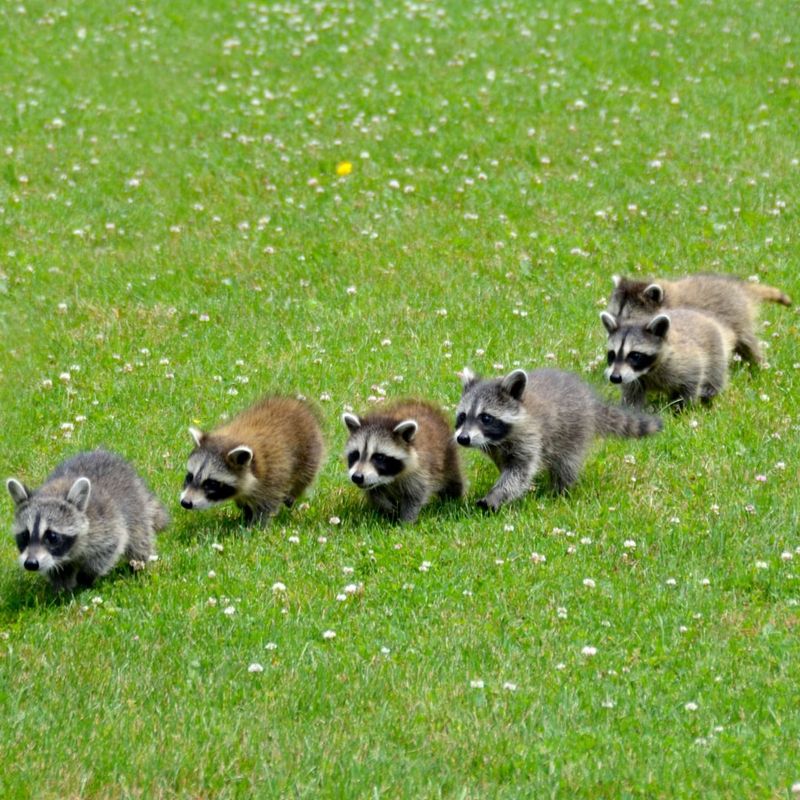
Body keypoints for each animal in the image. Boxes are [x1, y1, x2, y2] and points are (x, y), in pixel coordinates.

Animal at [6, 449, 168, 591]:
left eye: (52, 536)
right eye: (25, 535)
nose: (31, 563)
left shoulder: (106, 524)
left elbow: (108, 549)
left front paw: (86, 576)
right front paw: (61, 585)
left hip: (135, 508)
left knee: (139, 539)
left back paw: (138, 565)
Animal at [181, 395, 324, 525]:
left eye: (211, 483)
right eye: (190, 476)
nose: (185, 503)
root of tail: (294, 403)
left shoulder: (272, 475)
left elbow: (267, 504)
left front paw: (256, 525)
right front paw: (246, 512)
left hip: (309, 451)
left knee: (304, 477)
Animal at [455, 368, 662, 511]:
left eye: (485, 418)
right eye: (462, 416)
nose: (463, 438)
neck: (498, 439)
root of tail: (590, 401)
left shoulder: (530, 437)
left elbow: (518, 473)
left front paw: (497, 495)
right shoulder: (496, 449)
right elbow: (508, 468)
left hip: (574, 431)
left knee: (567, 464)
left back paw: (560, 492)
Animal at [601, 308, 737, 409]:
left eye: (635, 355)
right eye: (612, 354)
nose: (615, 378)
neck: (648, 370)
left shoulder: (685, 362)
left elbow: (690, 384)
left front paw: (682, 410)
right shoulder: (632, 378)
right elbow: (632, 395)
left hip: (716, 350)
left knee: (715, 374)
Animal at [606, 273, 791, 364]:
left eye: (630, 319)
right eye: (614, 315)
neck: (667, 300)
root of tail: (741, 288)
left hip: (738, 317)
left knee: (748, 342)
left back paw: (758, 364)